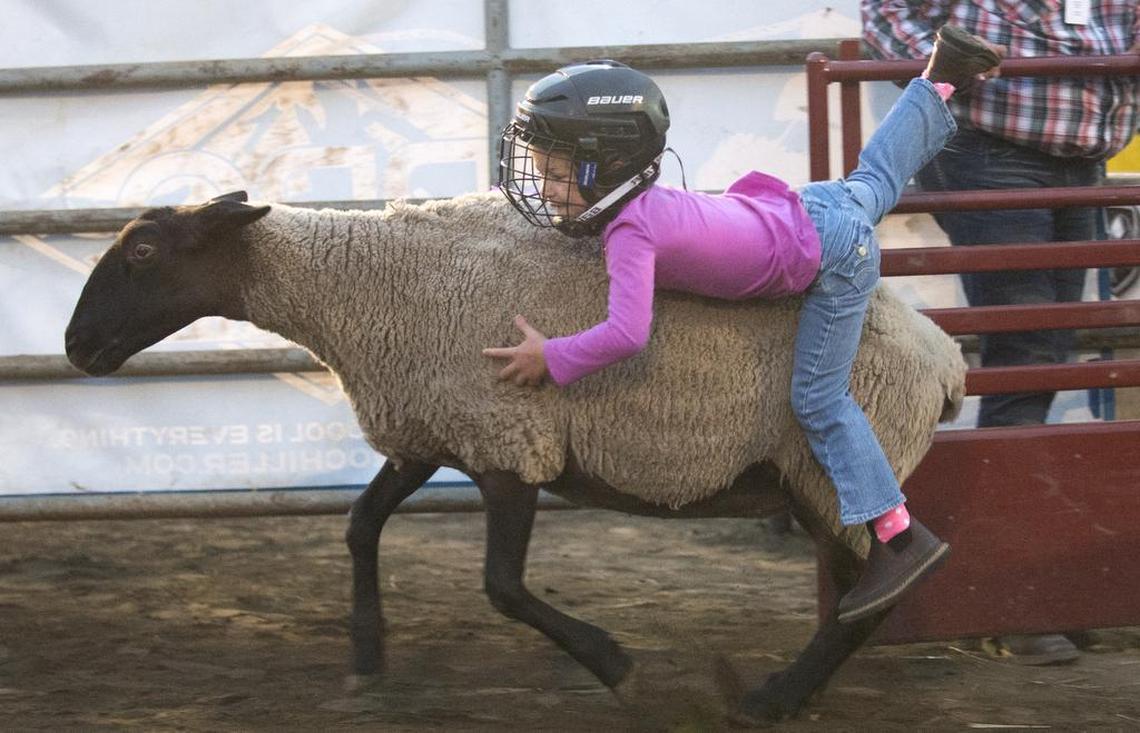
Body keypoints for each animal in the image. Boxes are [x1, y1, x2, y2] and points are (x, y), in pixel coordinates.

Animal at [65, 190, 967, 723]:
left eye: (142, 251)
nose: (74, 345)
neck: (358, 287)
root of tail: (944, 356)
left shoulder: (507, 438)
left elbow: (501, 585)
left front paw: (616, 664)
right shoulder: (430, 426)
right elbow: (359, 524)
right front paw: (367, 655)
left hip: (829, 469)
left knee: (877, 589)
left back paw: (771, 698)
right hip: (815, 482)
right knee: (864, 590)